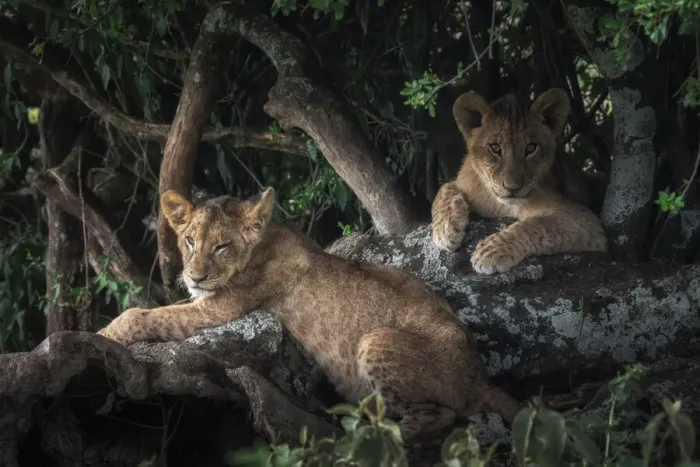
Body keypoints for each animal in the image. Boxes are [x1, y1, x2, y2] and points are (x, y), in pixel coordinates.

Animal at [97, 187, 521, 441]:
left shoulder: (221, 307)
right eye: (188, 241)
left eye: (221, 246)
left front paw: (104, 336)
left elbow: (142, 315)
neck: (262, 242)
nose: (194, 277)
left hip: (378, 339)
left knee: (445, 414)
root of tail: (481, 376)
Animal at [431, 88, 608, 274]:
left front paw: (490, 251)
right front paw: (445, 230)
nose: (512, 187)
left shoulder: (587, 222)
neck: (500, 205)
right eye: (495, 148)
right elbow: (444, 188)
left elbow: (537, 224)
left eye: (530, 148)